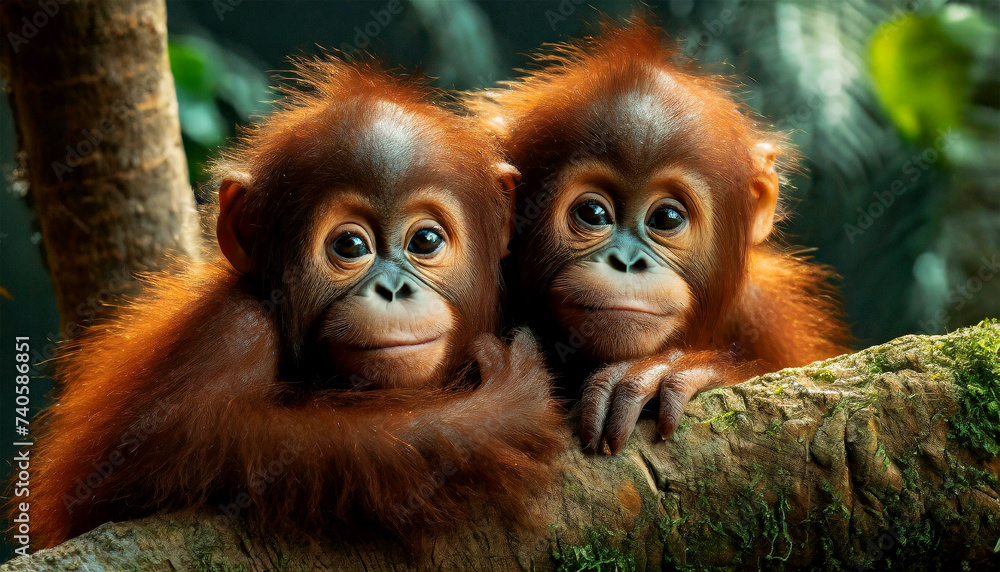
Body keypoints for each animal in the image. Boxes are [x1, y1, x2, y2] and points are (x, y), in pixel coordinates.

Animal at [22, 58, 564, 549]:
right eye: (350, 246)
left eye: (425, 241)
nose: (392, 289)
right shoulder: (235, 329)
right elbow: (178, 438)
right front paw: (503, 411)